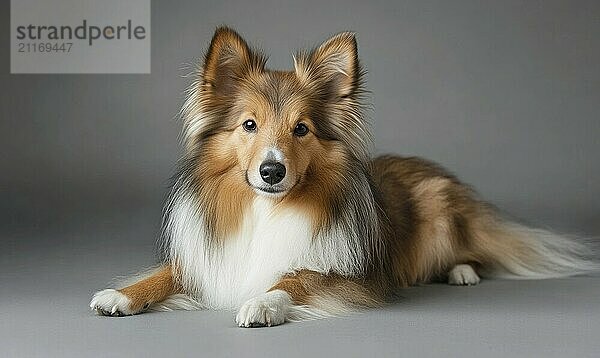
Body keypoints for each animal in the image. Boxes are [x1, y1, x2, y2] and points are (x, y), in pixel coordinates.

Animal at [90, 25, 600, 328]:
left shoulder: (342, 275)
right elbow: (162, 275)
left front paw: (261, 302)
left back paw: (461, 272)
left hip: (440, 209)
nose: (271, 171)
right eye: (249, 124)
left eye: (301, 128)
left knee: (470, 251)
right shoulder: (206, 259)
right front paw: (121, 295)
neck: (266, 209)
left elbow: (294, 279)